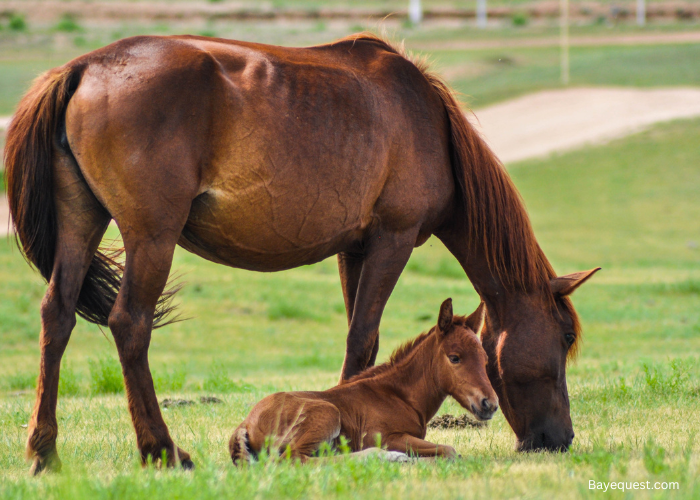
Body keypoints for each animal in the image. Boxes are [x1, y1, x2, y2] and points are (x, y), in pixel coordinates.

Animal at [230, 296, 498, 464]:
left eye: (485, 358)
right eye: (454, 358)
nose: (490, 404)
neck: (399, 396)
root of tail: (245, 424)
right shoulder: (386, 437)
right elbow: (449, 451)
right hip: (327, 414)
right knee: (295, 459)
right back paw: (386, 457)